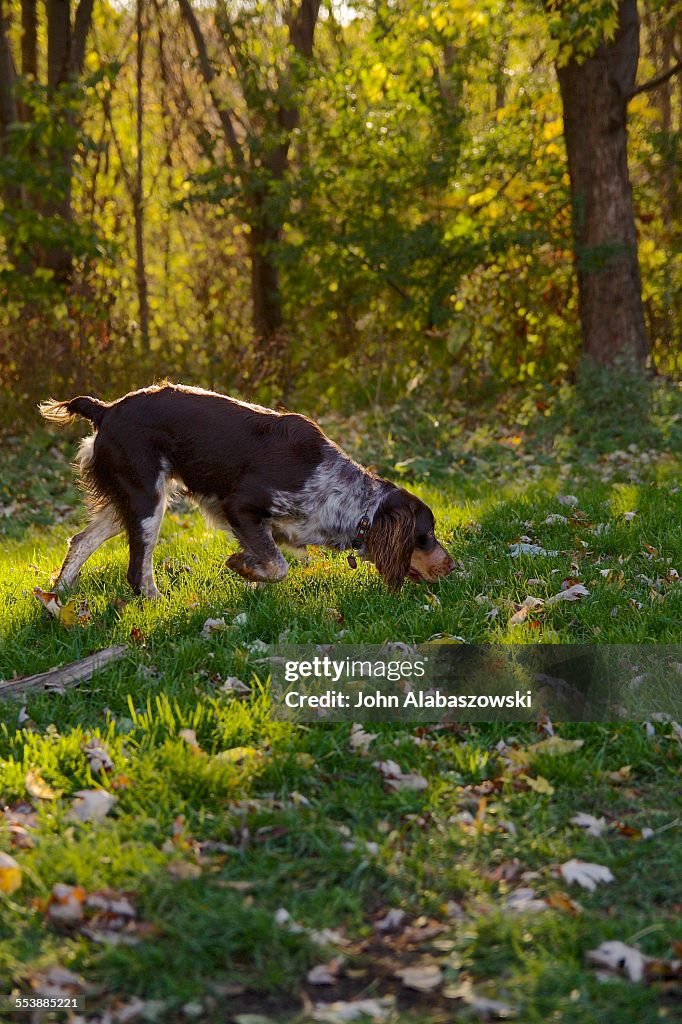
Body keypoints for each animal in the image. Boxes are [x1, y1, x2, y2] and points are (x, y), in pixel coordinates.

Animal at [39, 385, 454, 598]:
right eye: (426, 536)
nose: (454, 566)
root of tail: (105, 409)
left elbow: (275, 560)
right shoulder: (239, 506)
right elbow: (277, 566)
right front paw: (241, 565)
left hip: (130, 500)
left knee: (80, 540)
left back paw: (58, 597)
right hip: (147, 503)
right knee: (137, 574)